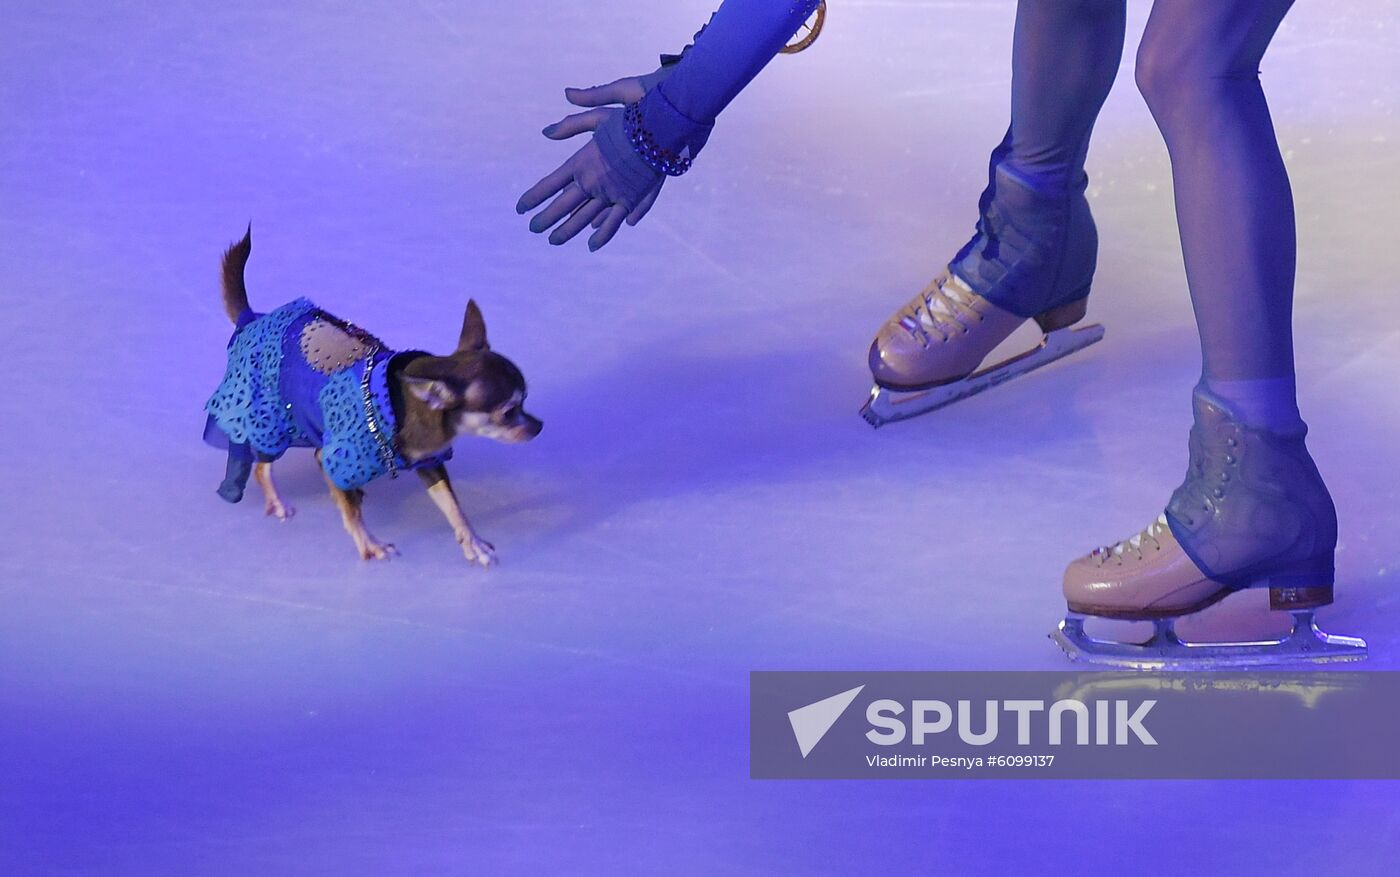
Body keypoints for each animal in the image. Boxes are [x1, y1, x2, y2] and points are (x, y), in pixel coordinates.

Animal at [203, 228, 540, 563]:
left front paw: (472, 542)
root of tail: (252, 319)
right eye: (508, 412)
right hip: (269, 425)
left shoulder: (430, 462)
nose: (539, 426)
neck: (396, 405)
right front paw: (370, 545)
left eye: (525, 400)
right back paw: (279, 502)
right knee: (261, 468)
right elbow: (352, 514)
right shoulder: (329, 457)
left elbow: (453, 506)